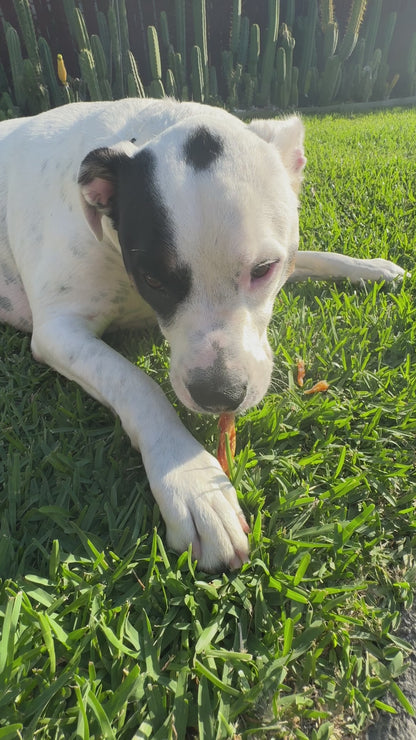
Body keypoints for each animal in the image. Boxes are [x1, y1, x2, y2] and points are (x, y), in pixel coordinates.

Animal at [0, 99, 404, 572]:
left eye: (264, 269)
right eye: (153, 278)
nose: (219, 394)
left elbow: (313, 255)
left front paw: (372, 267)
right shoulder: (58, 330)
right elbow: (137, 384)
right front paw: (191, 482)